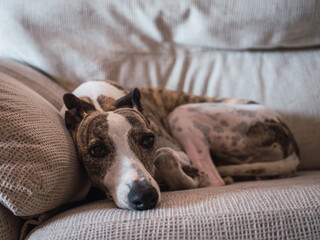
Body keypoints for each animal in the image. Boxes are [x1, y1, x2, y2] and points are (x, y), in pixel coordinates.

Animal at [60, 80, 300, 210]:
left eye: (148, 140)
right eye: (97, 150)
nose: (144, 197)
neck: (98, 102)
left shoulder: (176, 150)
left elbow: (164, 155)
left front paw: (186, 179)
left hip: (181, 114)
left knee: (214, 179)